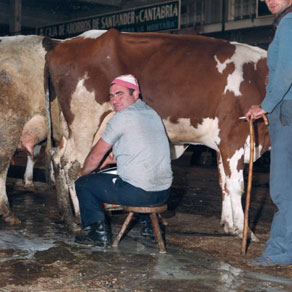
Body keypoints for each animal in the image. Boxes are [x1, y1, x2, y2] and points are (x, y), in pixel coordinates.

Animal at [46, 28, 270, 241]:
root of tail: (63, 44)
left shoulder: (222, 143)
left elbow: (223, 183)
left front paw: (229, 225)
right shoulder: (233, 135)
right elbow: (236, 186)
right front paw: (244, 231)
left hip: (70, 128)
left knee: (57, 159)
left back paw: (67, 215)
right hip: (84, 123)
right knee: (73, 166)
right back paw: (77, 218)